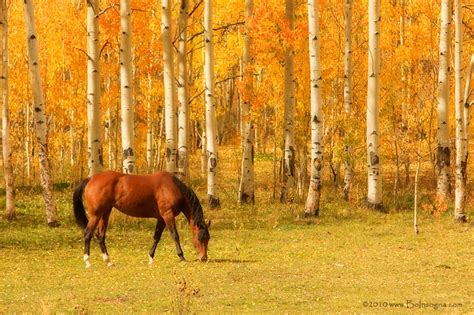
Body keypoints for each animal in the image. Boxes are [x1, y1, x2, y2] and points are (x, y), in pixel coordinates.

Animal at [72, 172, 209, 268]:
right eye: (199, 238)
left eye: (208, 239)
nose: (204, 258)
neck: (172, 187)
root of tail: (91, 179)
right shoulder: (167, 215)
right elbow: (175, 235)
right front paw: (182, 257)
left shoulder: (161, 218)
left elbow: (156, 238)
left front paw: (151, 258)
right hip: (95, 215)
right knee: (88, 234)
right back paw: (87, 262)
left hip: (105, 213)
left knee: (100, 236)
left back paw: (108, 261)